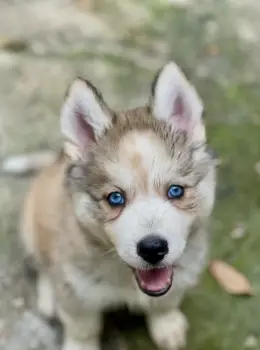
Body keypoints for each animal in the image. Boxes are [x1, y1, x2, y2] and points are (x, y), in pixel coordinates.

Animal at [19, 61, 215, 348]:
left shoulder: (178, 276)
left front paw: (166, 324)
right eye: (115, 198)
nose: (153, 249)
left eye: (176, 191)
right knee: (41, 264)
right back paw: (49, 297)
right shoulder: (77, 292)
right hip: (31, 225)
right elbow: (82, 328)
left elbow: (166, 302)